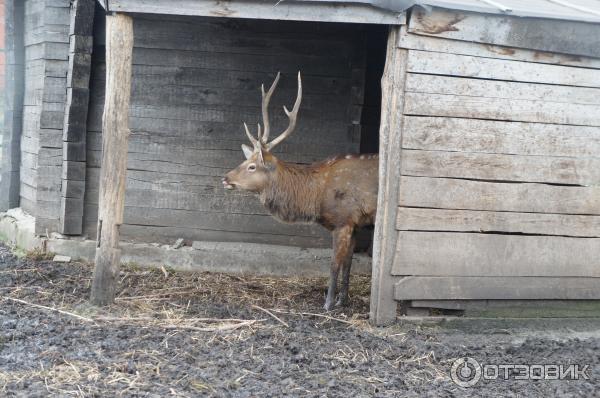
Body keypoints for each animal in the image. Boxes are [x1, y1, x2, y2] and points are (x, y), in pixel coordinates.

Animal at [223, 73, 378, 312]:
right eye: (244, 161)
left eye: (252, 166)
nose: (225, 178)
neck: (317, 197)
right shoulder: (355, 224)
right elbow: (348, 264)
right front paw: (342, 300)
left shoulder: (343, 220)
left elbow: (334, 264)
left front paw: (328, 303)